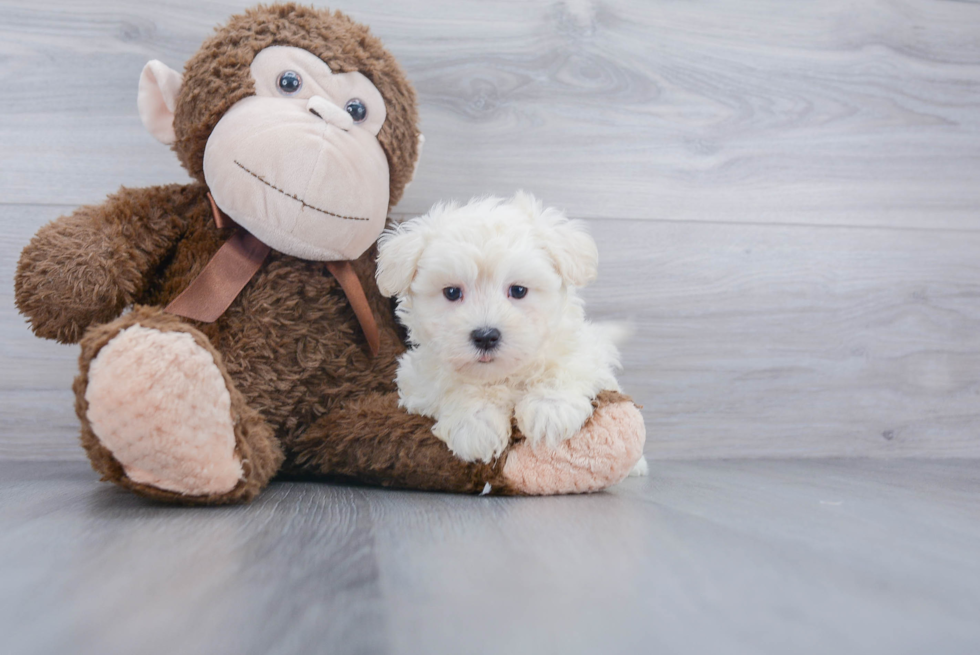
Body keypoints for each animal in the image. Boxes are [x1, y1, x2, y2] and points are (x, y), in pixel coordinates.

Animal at [376, 192, 644, 474]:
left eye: (518, 290)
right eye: (451, 292)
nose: (485, 336)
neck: (503, 375)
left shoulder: (582, 351)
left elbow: (564, 365)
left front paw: (550, 409)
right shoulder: (419, 379)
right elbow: (454, 386)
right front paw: (475, 425)